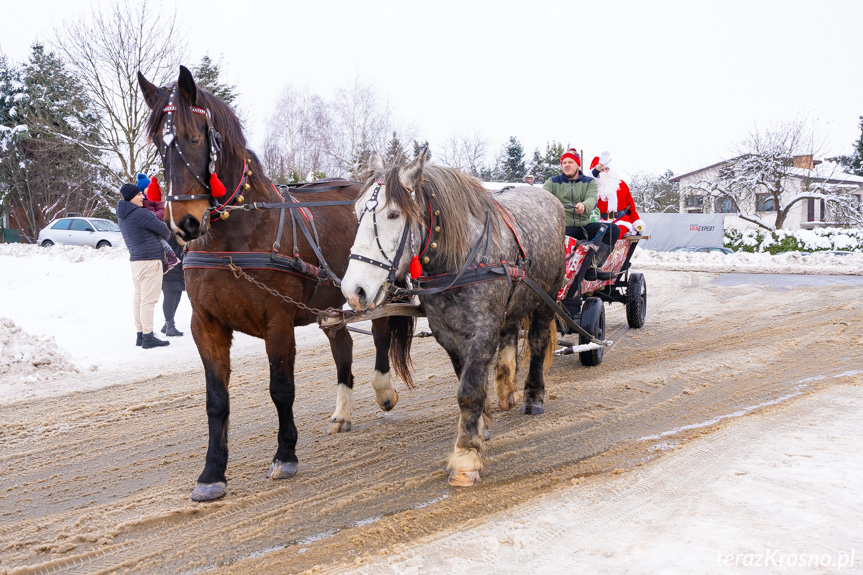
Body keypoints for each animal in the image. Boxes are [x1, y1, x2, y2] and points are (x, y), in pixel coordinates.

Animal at [139, 65, 402, 502]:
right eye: (160, 143)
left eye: (196, 136)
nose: (185, 222)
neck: (236, 234)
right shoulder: (205, 324)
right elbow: (216, 400)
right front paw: (212, 473)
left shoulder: (276, 321)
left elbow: (281, 388)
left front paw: (285, 454)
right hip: (328, 303)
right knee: (343, 347)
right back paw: (342, 412)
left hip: (372, 288)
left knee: (381, 334)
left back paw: (383, 390)